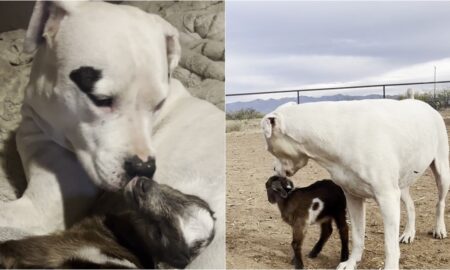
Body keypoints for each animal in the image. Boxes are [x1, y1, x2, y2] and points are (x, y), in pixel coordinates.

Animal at [262, 98, 448, 268]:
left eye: (269, 148)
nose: (273, 169)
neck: (336, 134)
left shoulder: (387, 198)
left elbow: (390, 246)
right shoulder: (353, 198)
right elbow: (357, 236)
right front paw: (351, 262)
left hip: (441, 172)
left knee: (440, 202)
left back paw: (439, 229)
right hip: (401, 186)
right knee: (410, 205)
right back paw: (409, 233)